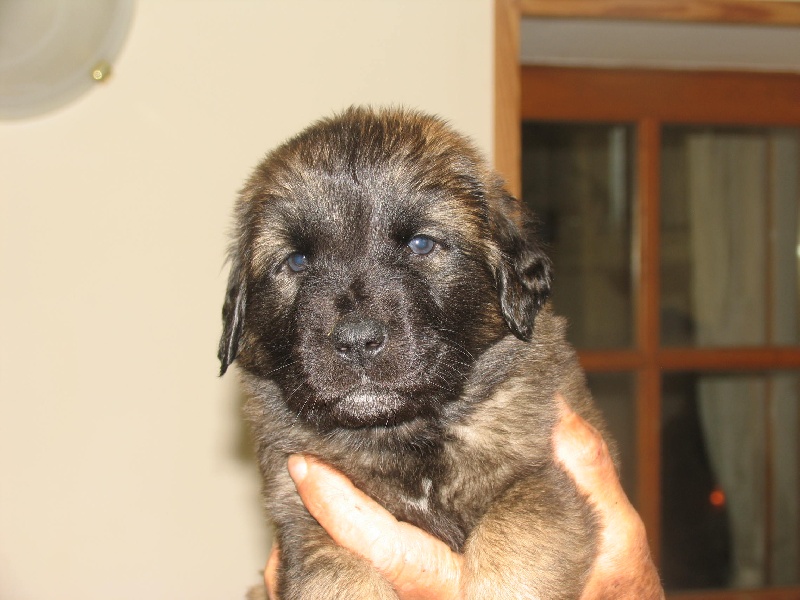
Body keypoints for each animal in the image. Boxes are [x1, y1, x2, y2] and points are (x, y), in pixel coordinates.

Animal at [219, 107, 615, 599]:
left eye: (421, 244)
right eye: (296, 261)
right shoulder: (309, 521)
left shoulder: (546, 480)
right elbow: (340, 579)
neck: (405, 437)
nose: (356, 340)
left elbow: (511, 545)